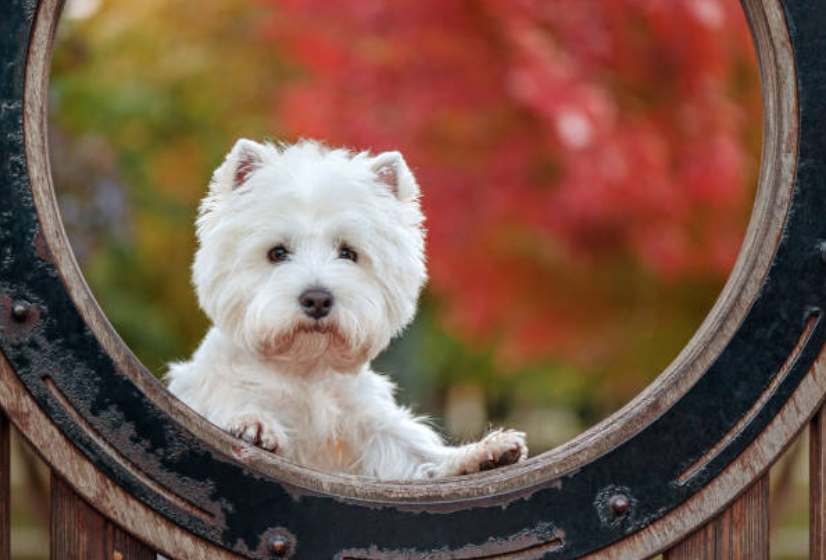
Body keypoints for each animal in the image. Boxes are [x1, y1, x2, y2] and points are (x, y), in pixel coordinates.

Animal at [166, 139, 528, 476]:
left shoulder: (369, 422)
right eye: (277, 252)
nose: (317, 299)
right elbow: (233, 406)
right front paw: (253, 425)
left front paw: (485, 454)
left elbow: (418, 454)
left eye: (348, 253)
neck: (305, 371)